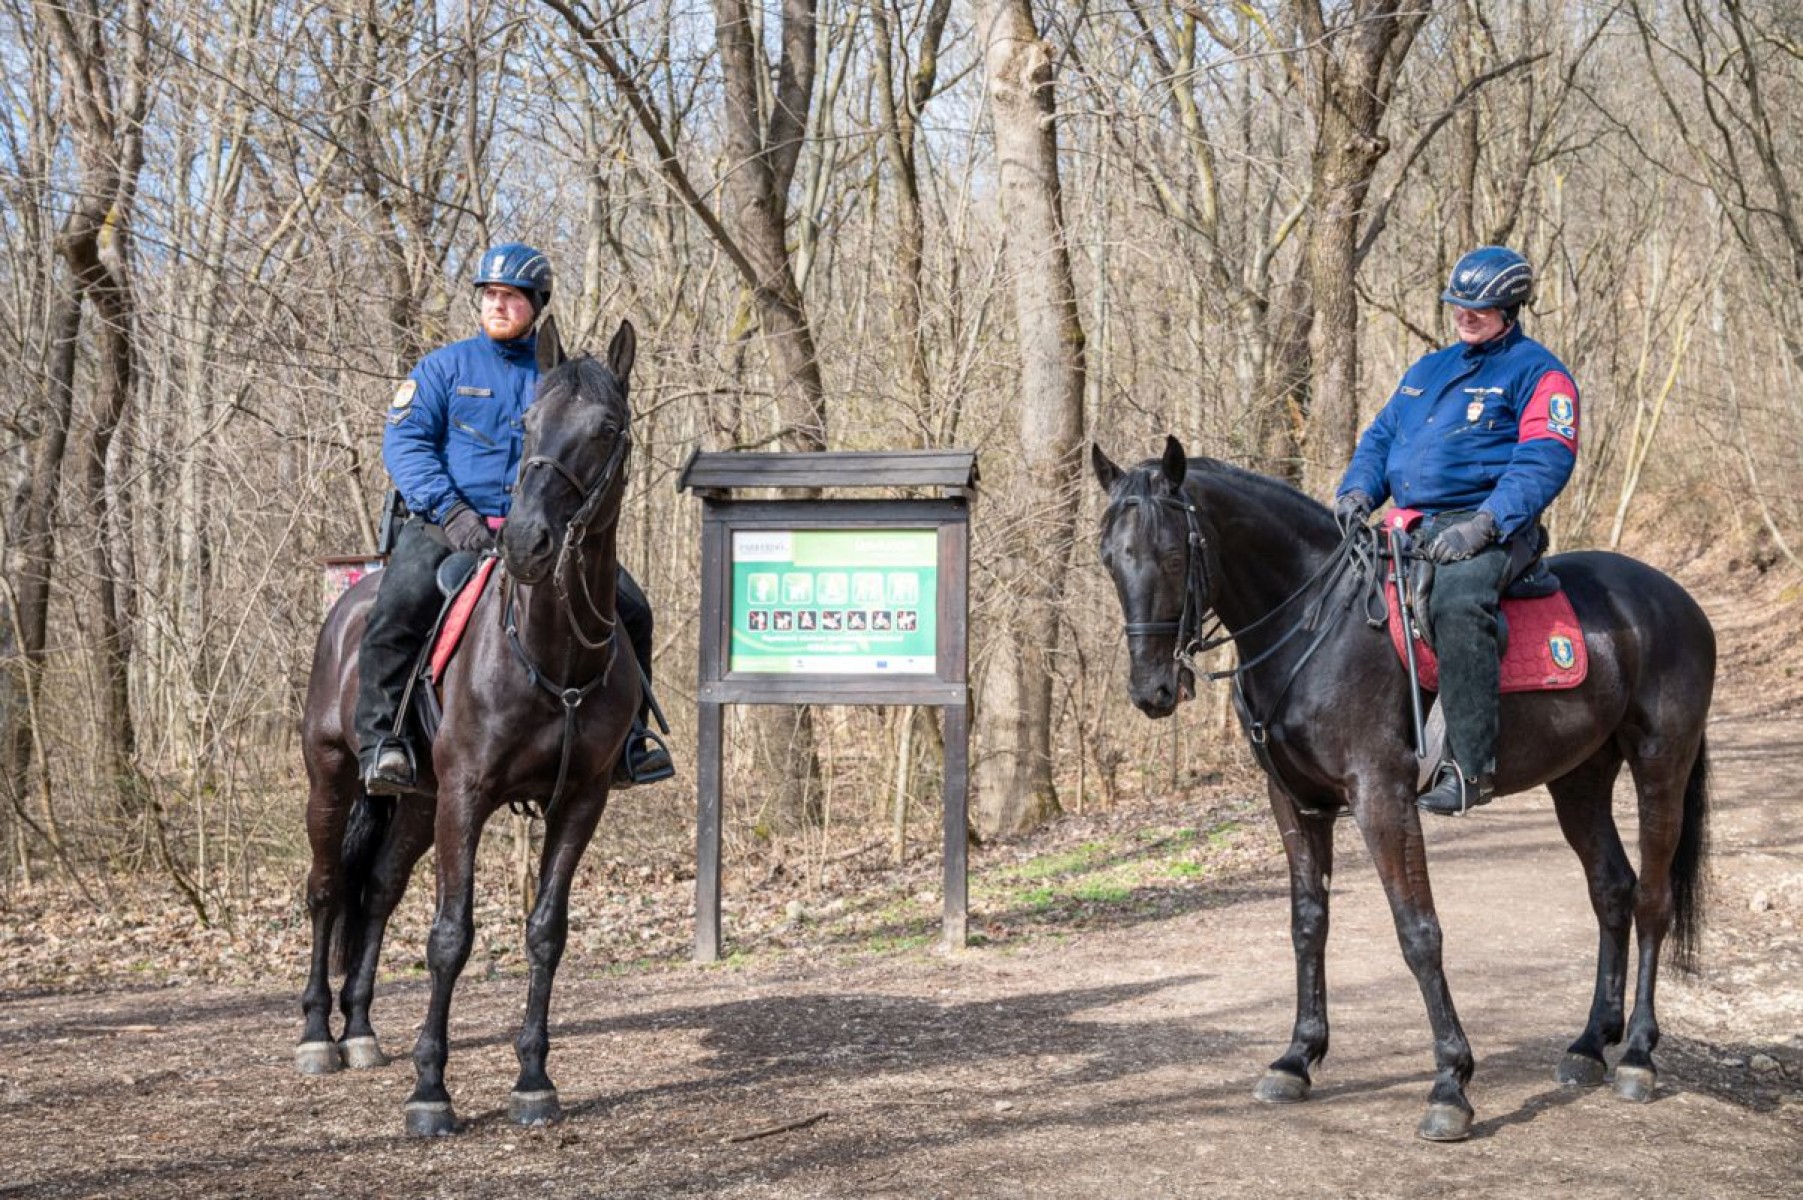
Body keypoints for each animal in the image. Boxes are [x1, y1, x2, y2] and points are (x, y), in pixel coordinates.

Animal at [290, 315, 641, 1131]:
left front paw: (533, 1079)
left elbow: (546, 933)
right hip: (334, 777)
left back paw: (360, 1030)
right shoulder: (466, 796)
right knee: (326, 889)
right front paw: (430, 1092)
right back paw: (319, 1035)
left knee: (376, 892)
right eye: (527, 423)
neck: (552, 653)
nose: (525, 542)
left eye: (607, 429)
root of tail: (351, 600)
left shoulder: (581, 801)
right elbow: (450, 936)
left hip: (417, 802)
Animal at [1089, 437, 1709, 1138]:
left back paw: (1636, 1055)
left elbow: (1418, 932)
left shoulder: (1380, 797)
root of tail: (1674, 600)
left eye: (1172, 554)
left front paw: (1450, 1083)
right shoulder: (1296, 804)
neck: (1314, 625)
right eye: (1110, 558)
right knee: (1611, 890)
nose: (1152, 691)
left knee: (1652, 898)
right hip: (1578, 780)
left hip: (1661, 766)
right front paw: (1297, 1057)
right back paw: (1588, 1046)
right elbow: (1308, 923)